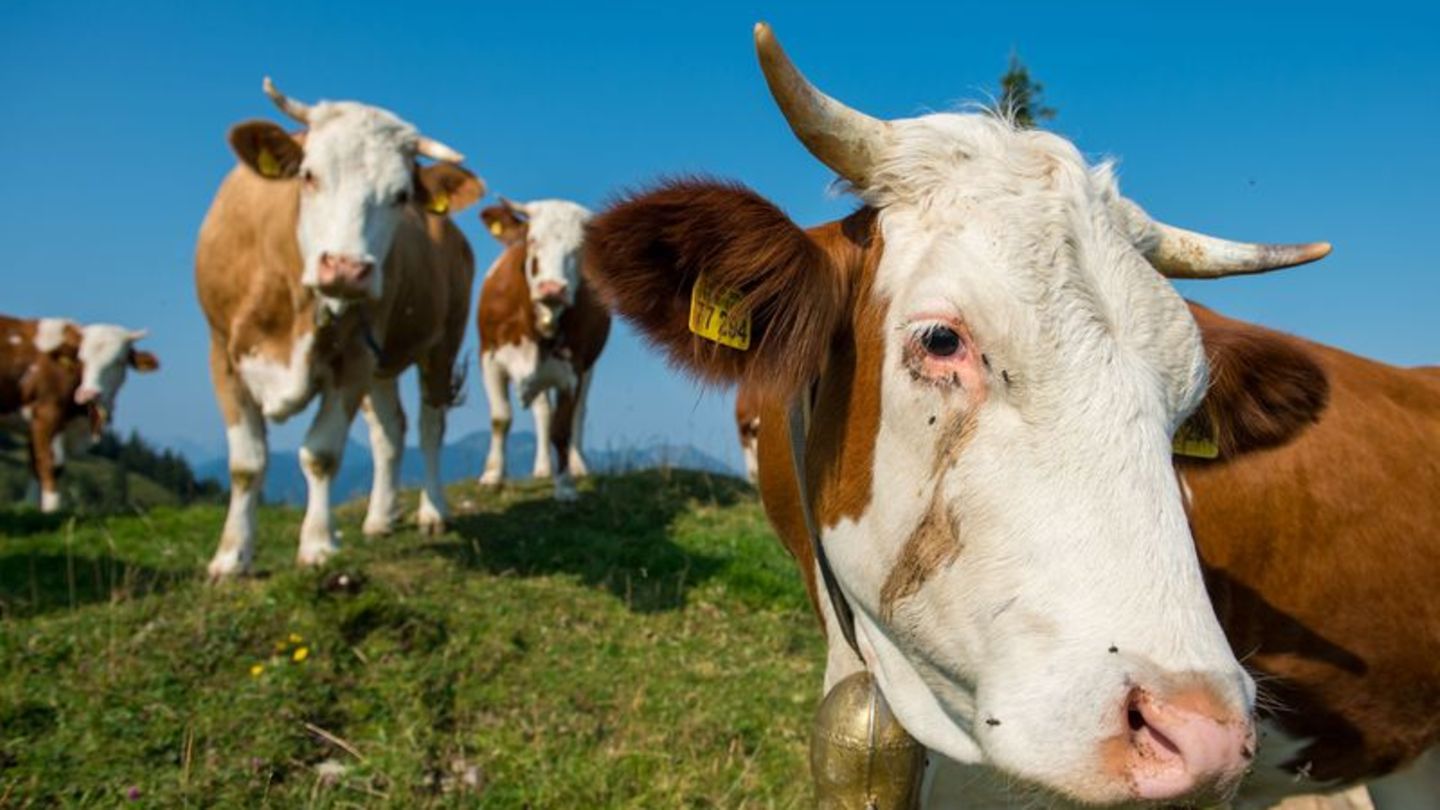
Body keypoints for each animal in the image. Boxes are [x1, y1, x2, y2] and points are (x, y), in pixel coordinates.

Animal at [0, 312, 159, 507]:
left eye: (119, 361)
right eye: (82, 359)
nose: (88, 394)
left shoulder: (34, 426)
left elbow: (35, 467)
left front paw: (30, 508)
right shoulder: (47, 415)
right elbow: (51, 465)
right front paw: (52, 510)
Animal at [197, 80, 483, 573]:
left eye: (401, 195)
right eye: (308, 175)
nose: (348, 269)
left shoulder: (354, 358)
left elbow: (322, 454)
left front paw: (317, 545)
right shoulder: (223, 353)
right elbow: (246, 463)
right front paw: (232, 557)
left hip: (441, 343)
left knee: (430, 425)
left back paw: (433, 511)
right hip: (383, 362)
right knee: (390, 431)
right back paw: (380, 517)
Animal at [475, 196, 604, 498]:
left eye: (581, 248)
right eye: (532, 240)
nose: (553, 288)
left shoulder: (572, 370)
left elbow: (562, 428)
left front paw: (565, 485)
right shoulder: (489, 357)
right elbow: (501, 418)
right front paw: (492, 476)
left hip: (588, 368)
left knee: (579, 411)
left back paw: (578, 465)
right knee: (543, 411)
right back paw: (543, 468)